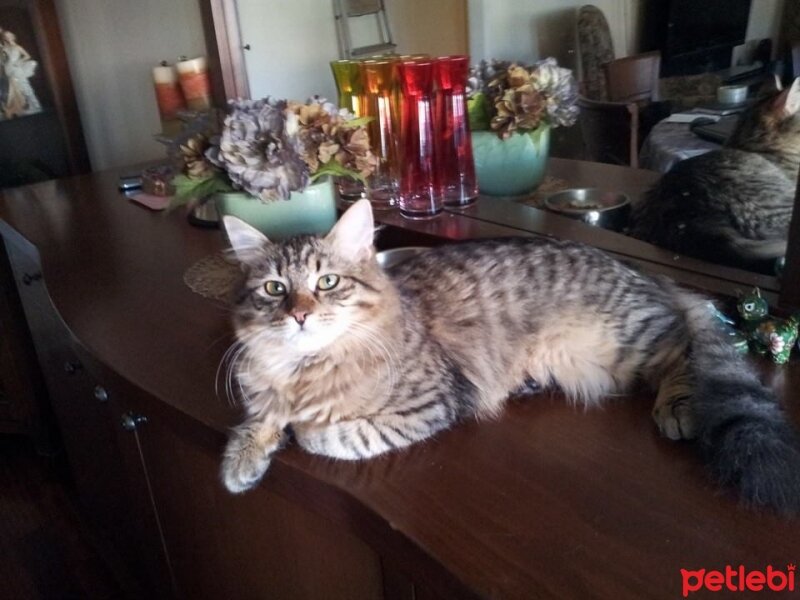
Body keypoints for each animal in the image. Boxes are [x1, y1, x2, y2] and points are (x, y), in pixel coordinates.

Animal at [220, 203, 800, 516]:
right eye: (274, 289)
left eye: (327, 283)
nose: (299, 315)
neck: (306, 370)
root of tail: (646, 273)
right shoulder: (262, 390)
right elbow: (256, 420)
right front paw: (241, 463)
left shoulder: (431, 402)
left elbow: (330, 435)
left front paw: (304, 430)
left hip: (629, 338)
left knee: (687, 345)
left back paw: (681, 404)